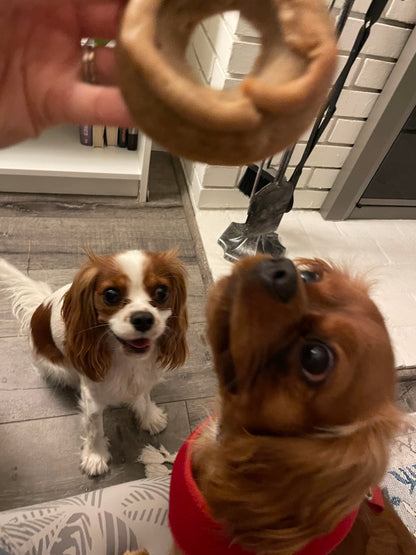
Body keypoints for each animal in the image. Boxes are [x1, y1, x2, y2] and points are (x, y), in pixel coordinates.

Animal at [0, 250, 187, 476]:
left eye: (161, 292)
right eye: (111, 295)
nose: (143, 318)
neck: (126, 358)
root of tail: (41, 304)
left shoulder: (145, 376)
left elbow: (144, 395)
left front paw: (149, 416)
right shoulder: (92, 398)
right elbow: (95, 428)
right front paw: (95, 456)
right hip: (58, 369)